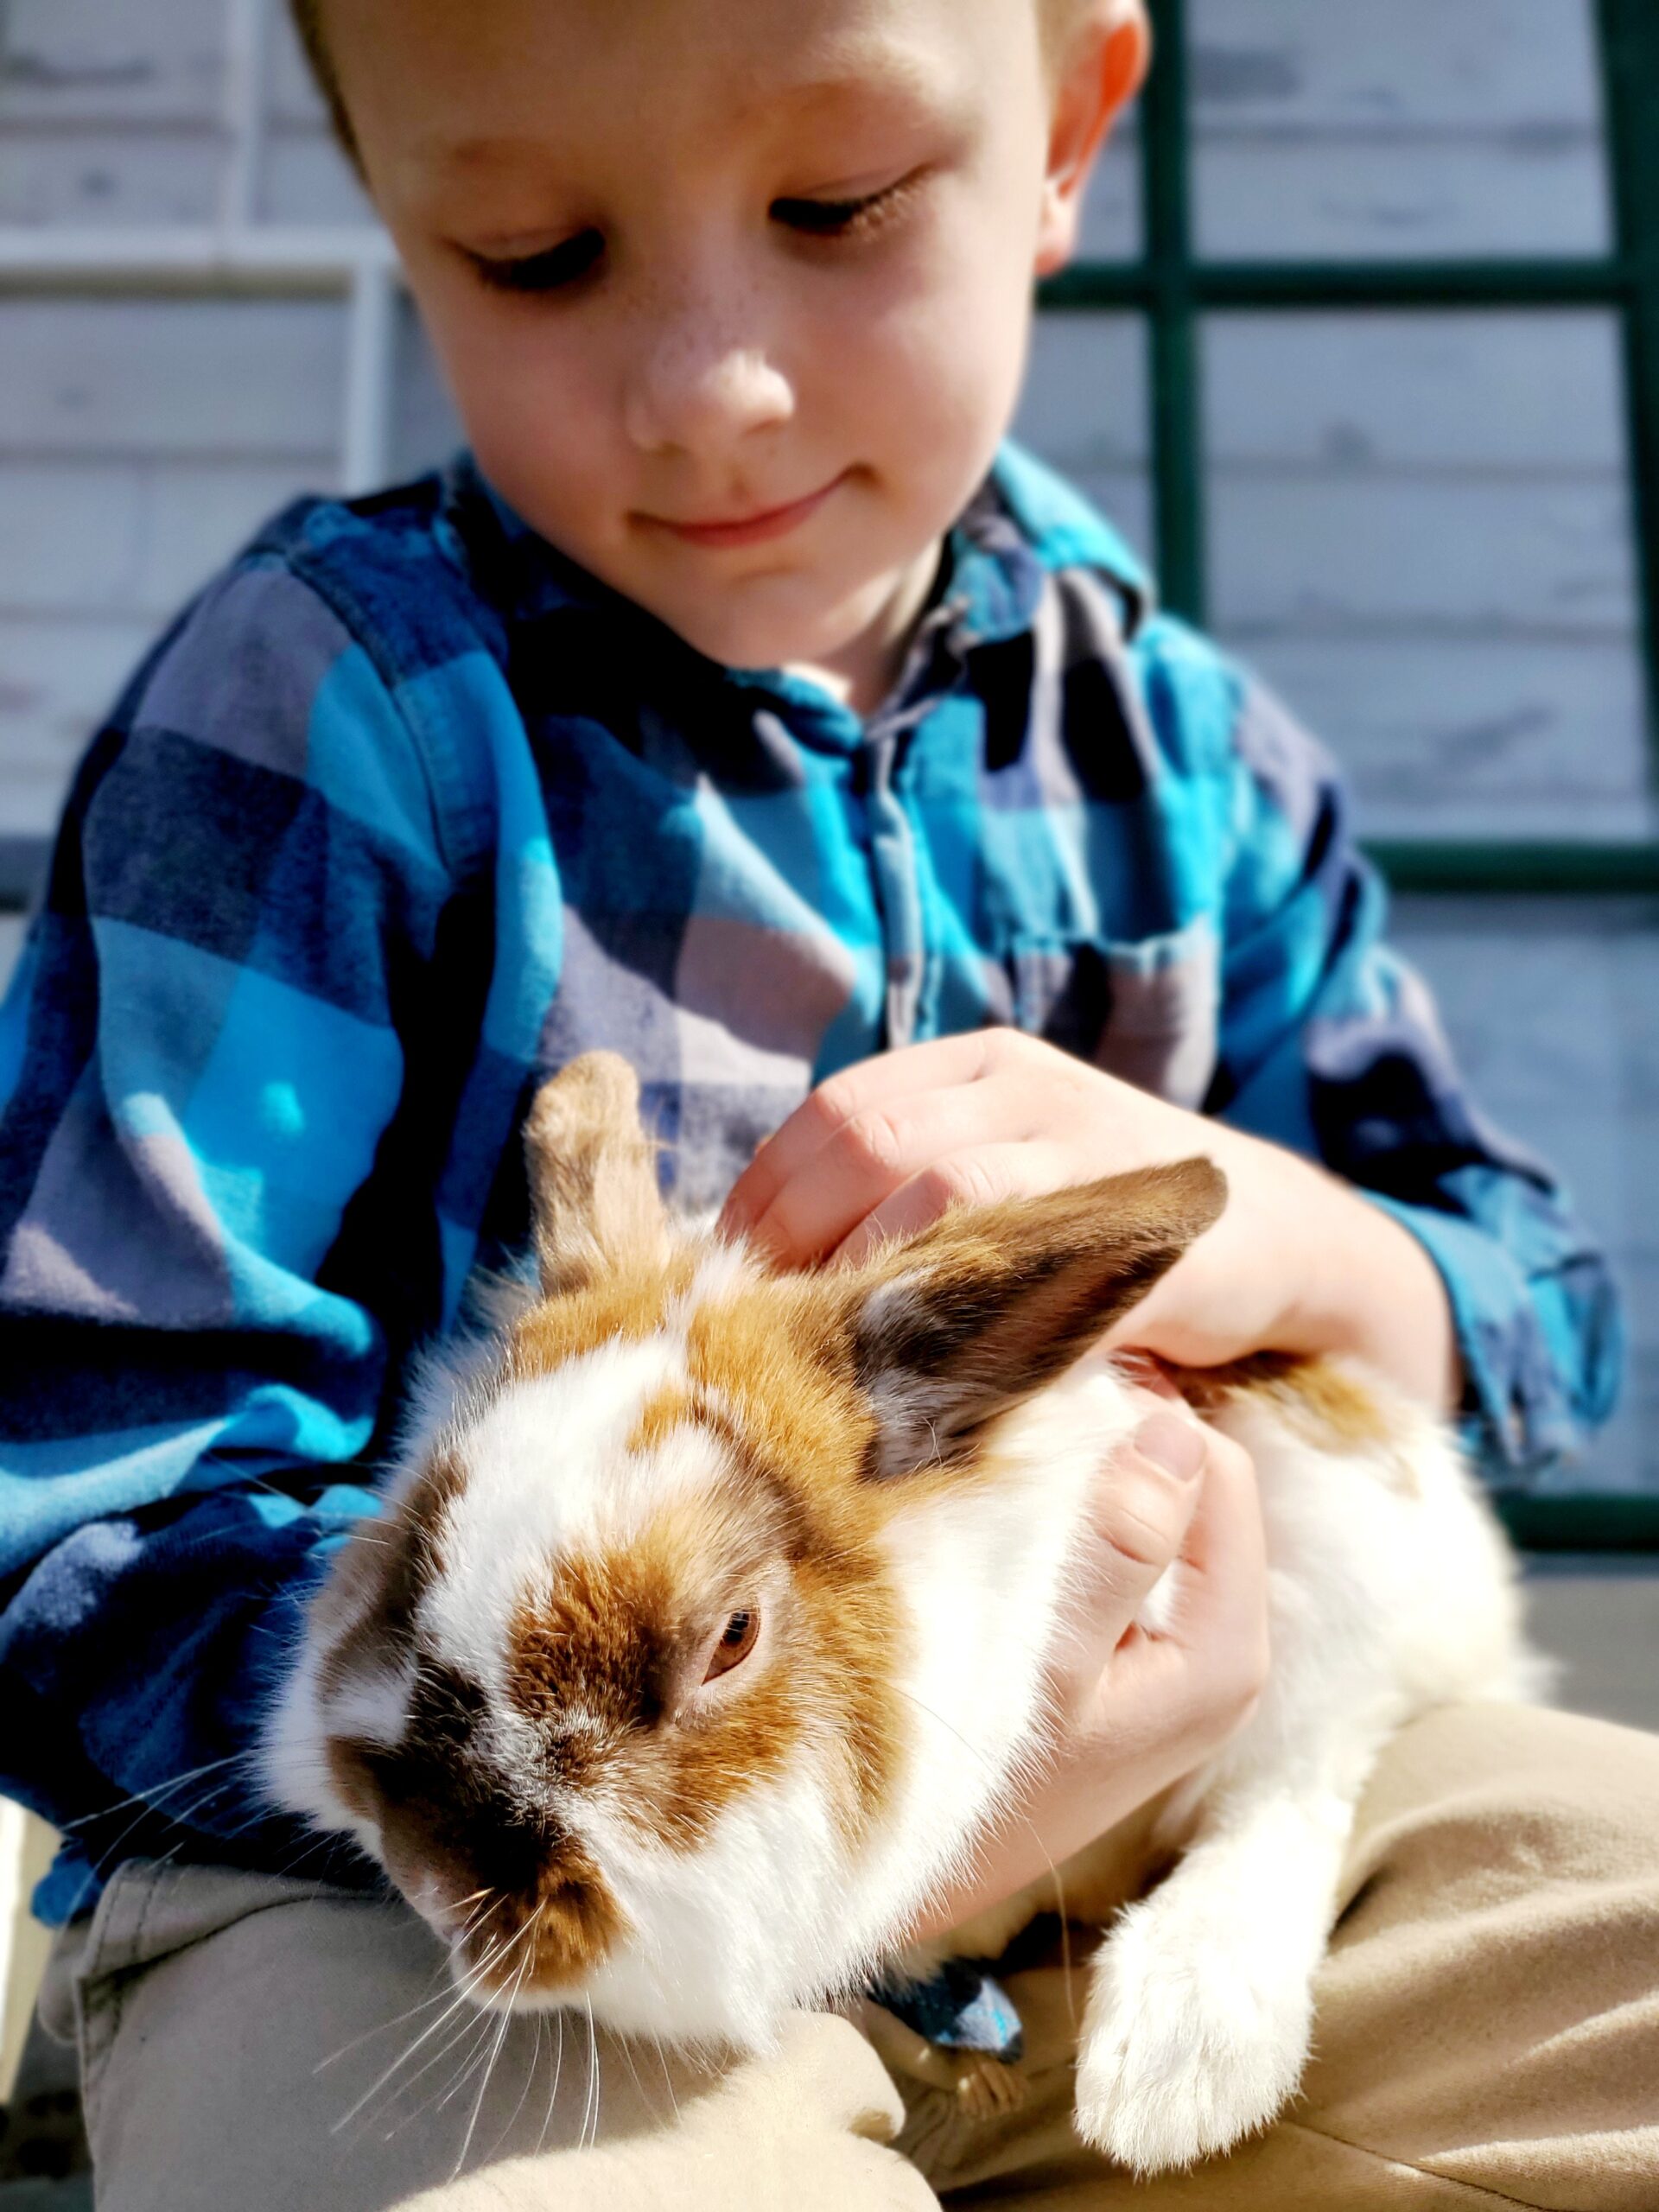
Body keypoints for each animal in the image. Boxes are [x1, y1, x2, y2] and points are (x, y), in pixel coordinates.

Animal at [263, 1052, 1548, 2177]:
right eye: (418, 1547)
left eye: (732, 1638)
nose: (436, 1871)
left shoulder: (1338, 1610)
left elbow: (1282, 1798)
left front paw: (1172, 2079)